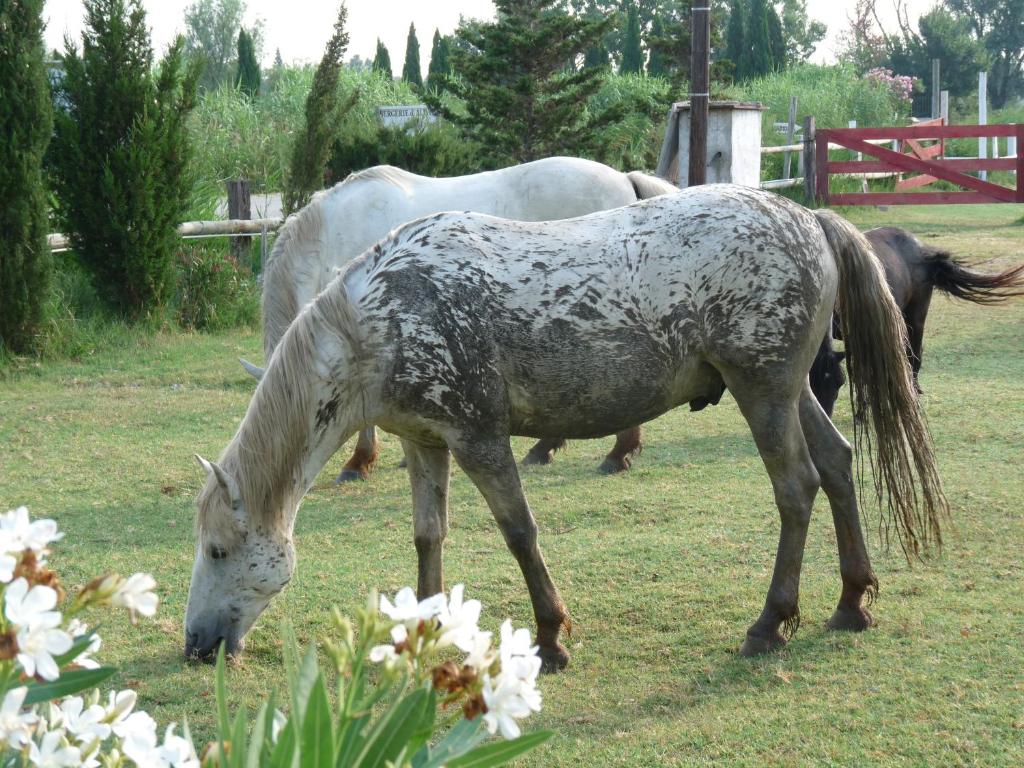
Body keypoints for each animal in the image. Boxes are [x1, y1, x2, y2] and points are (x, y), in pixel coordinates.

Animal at [806, 227, 1024, 415]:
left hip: (915, 317)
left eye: (838, 383)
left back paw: (914, 393)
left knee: (914, 355)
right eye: (812, 384)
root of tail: (922, 249)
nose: (825, 417)